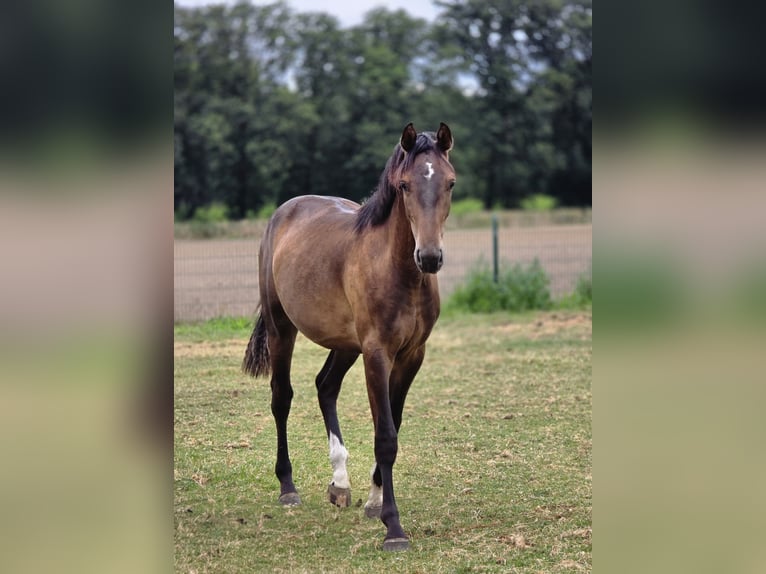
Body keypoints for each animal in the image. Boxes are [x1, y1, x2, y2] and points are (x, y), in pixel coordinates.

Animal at [242, 122, 455, 551]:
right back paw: (288, 488)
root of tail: (284, 212)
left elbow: (393, 424)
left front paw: (374, 502)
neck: (398, 271)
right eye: (405, 184)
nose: (429, 257)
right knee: (281, 397)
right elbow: (385, 435)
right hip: (281, 328)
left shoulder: (412, 355)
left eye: (451, 183)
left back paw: (339, 484)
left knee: (325, 386)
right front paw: (393, 528)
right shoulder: (377, 353)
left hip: (344, 345)